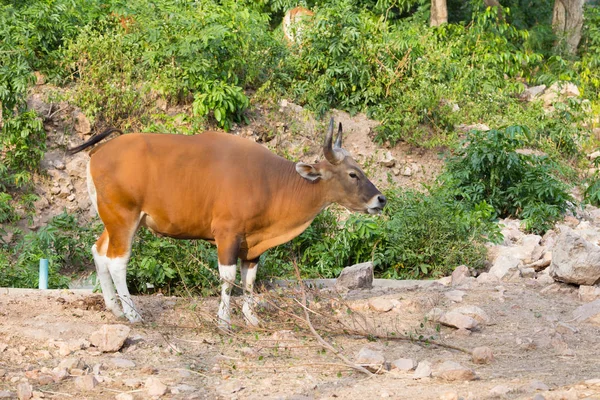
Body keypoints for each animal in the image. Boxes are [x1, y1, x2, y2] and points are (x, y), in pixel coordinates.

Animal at [68, 119, 386, 328]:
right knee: (118, 261)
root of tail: (99, 153)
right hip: (124, 218)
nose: (380, 199)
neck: (271, 182)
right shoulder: (227, 234)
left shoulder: (254, 243)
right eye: (353, 174)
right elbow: (229, 277)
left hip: (111, 220)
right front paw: (224, 320)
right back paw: (133, 314)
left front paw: (251, 317)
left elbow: (250, 279)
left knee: (99, 251)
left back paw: (115, 309)